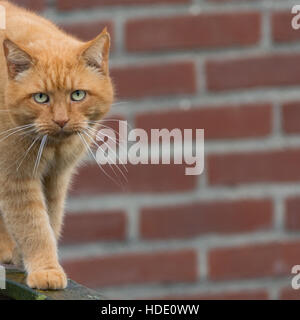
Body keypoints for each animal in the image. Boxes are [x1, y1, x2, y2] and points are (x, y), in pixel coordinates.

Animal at [0, 0, 113, 290]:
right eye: (41, 97)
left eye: (78, 95)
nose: (61, 120)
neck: (52, 148)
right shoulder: (16, 179)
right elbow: (34, 227)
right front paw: (45, 270)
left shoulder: (56, 177)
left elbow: (49, 220)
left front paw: (28, 260)